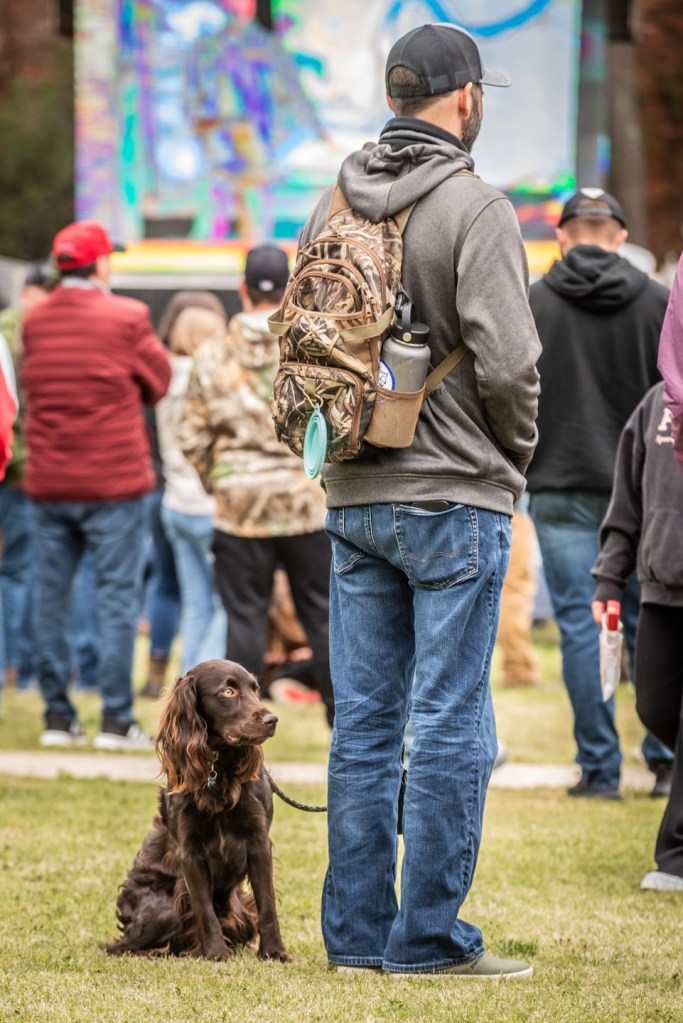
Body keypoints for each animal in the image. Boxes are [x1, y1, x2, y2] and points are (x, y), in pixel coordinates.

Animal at [106, 660, 291, 962]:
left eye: (255, 689)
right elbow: (204, 909)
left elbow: (267, 904)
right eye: (228, 691)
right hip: (162, 908)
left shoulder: (259, 842)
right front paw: (216, 953)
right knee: (122, 946)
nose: (271, 720)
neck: (218, 769)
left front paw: (274, 952)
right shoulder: (189, 851)